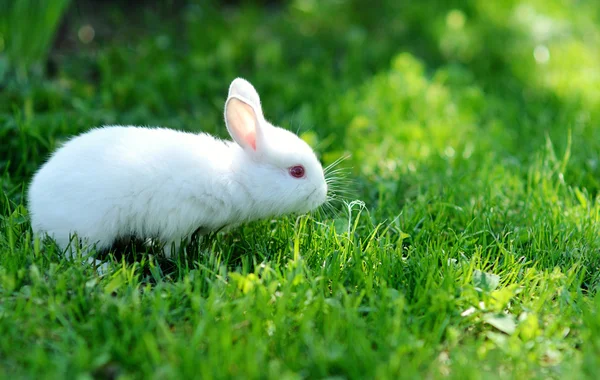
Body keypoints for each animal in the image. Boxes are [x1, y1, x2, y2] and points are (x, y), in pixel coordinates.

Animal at [28, 77, 328, 262]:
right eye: (297, 171)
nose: (323, 193)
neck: (236, 178)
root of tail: (35, 204)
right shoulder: (181, 219)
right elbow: (172, 247)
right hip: (87, 231)